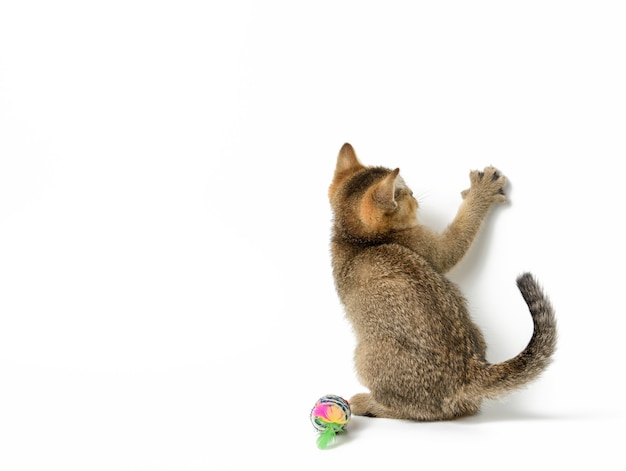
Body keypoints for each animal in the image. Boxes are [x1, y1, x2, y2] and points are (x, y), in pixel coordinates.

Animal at [330, 143, 552, 420]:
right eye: (404, 193)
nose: (414, 194)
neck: (352, 237)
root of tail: (469, 373)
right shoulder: (428, 247)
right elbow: (458, 235)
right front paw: (480, 195)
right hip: (366, 354)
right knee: (417, 410)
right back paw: (367, 404)